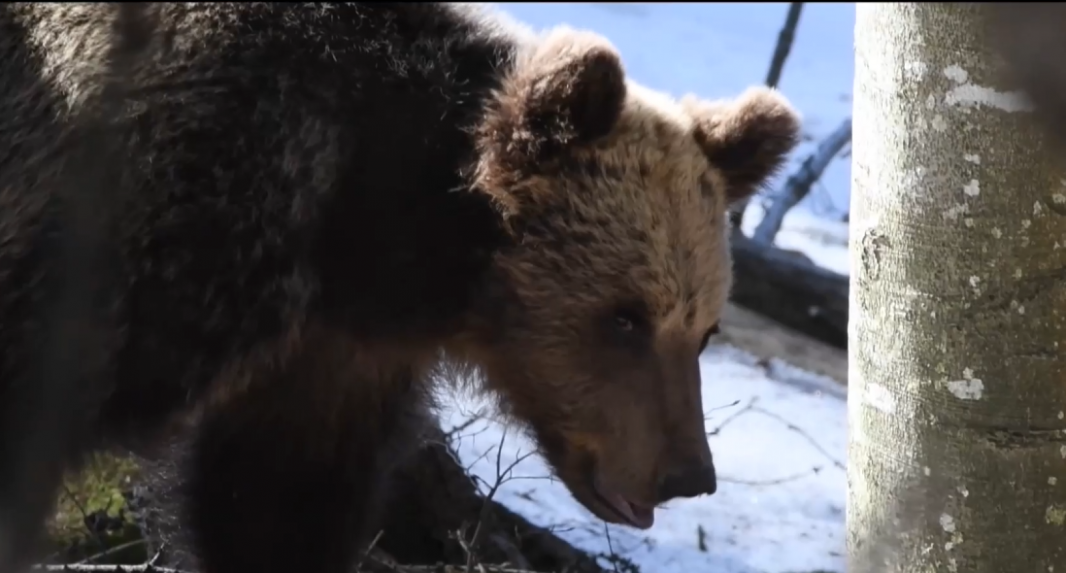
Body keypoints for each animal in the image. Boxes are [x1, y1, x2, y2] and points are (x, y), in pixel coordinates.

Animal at [0, 4, 801, 570]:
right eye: (625, 317)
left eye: (704, 329)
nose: (687, 473)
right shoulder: (151, 228)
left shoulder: (330, 360)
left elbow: (275, 507)